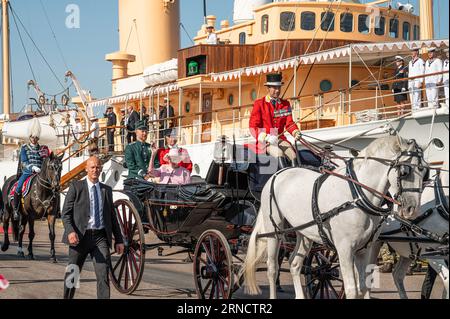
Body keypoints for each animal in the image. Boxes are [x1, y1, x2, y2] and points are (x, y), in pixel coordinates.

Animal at [243, 136, 428, 300]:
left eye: (425, 171)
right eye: (405, 171)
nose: (412, 209)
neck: (357, 195)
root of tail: (279, 173)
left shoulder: (364, 249)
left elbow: (363, 287)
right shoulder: (344, 249)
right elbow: (352, 289)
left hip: (304, 233)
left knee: (294, 264)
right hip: (274, 230)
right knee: (272, 268)